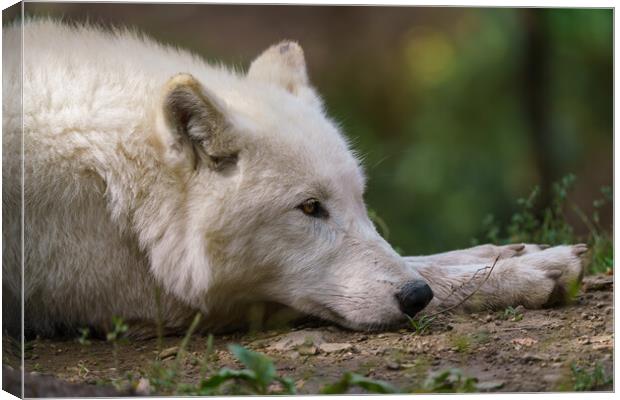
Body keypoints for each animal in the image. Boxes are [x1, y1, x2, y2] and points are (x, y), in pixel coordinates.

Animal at [3, 19, 588, 338]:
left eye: (359, 201)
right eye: (309, 208)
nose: (415, 298)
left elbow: (413, 256)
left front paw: (504, 253)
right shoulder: (158, 300)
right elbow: (427, 270)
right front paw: (523, 272)